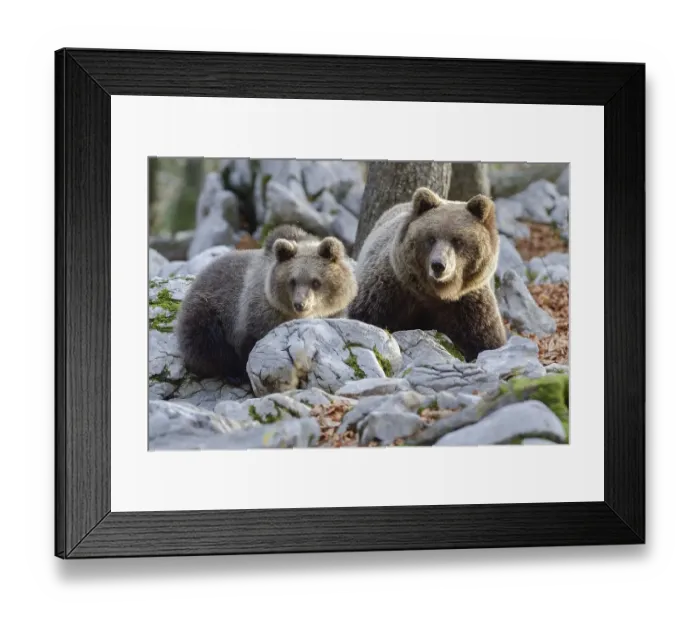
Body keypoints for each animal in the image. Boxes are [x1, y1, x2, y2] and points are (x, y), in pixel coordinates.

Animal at [175, 224, 358, 380]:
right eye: (292, 281)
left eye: (315, 282)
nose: (300, 304)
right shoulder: (258, 311)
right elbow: (249, 343)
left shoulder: (335, 312)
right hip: (208, 309)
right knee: (209, 344)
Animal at [347, 186, 507, 362]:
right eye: (431, 238)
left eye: (458, 240)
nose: (438, 265)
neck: (436, 293)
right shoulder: (390, 293)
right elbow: (369, 316)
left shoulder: (469, 307)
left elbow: (484, 340)